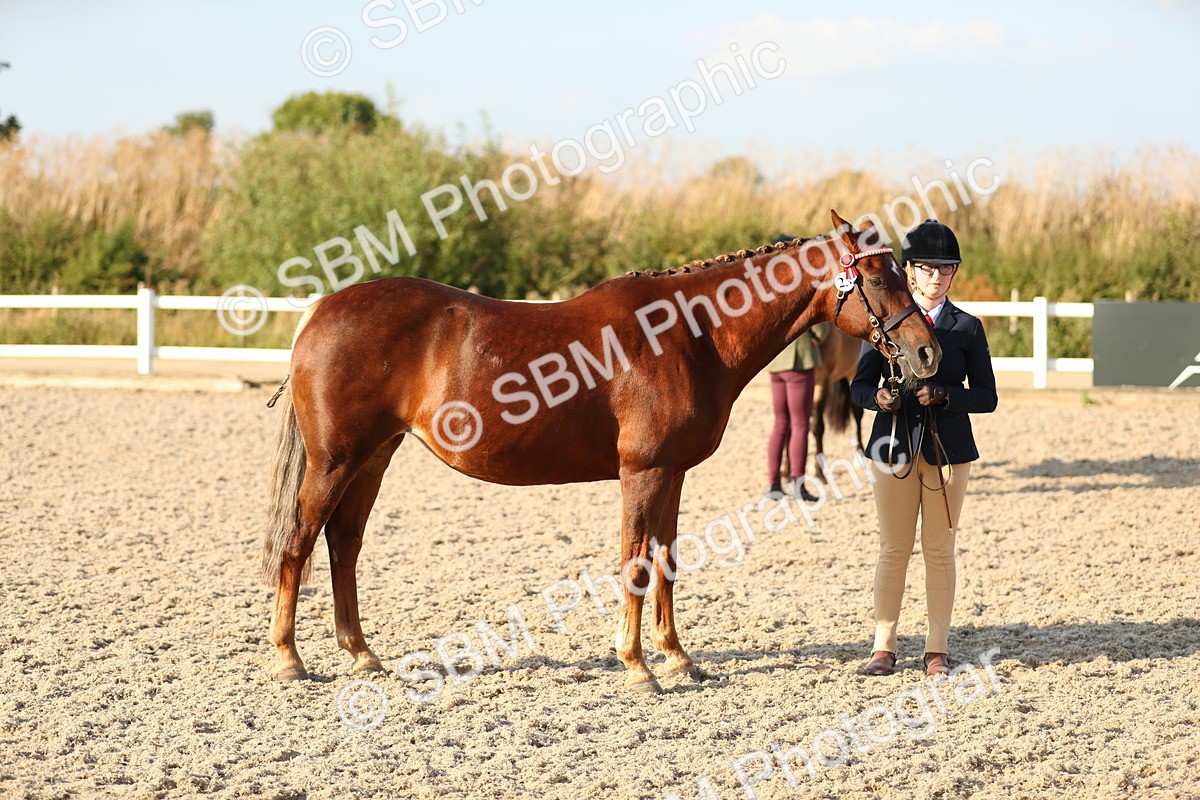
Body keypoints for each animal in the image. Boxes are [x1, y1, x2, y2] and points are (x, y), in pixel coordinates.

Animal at [262, 210, 940, 692]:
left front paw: (677, 658)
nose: (927, 352)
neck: (689, 334)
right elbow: (635, 564)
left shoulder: (672, 474)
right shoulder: (643, 473)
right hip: (335, 461)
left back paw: (361, 655)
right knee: (299, 541)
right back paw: (289, 659)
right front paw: (637, 666)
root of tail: (320, 310)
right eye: (877, 277)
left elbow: (667, 559)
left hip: (373, 459)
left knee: (343, 544)